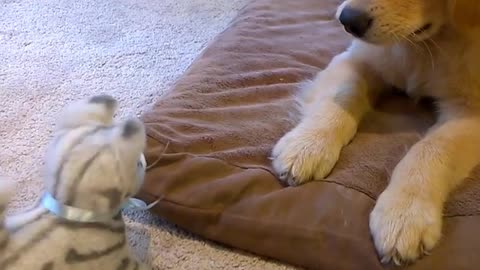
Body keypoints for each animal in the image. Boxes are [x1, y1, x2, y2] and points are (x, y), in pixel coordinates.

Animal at [272, 0, 480, 266]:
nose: (348, 21)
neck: (427, 46)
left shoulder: (471, 110)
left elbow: (432, 148)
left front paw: (404, 214)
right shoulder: (360, 59)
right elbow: (343, 95)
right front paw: (306, 146)